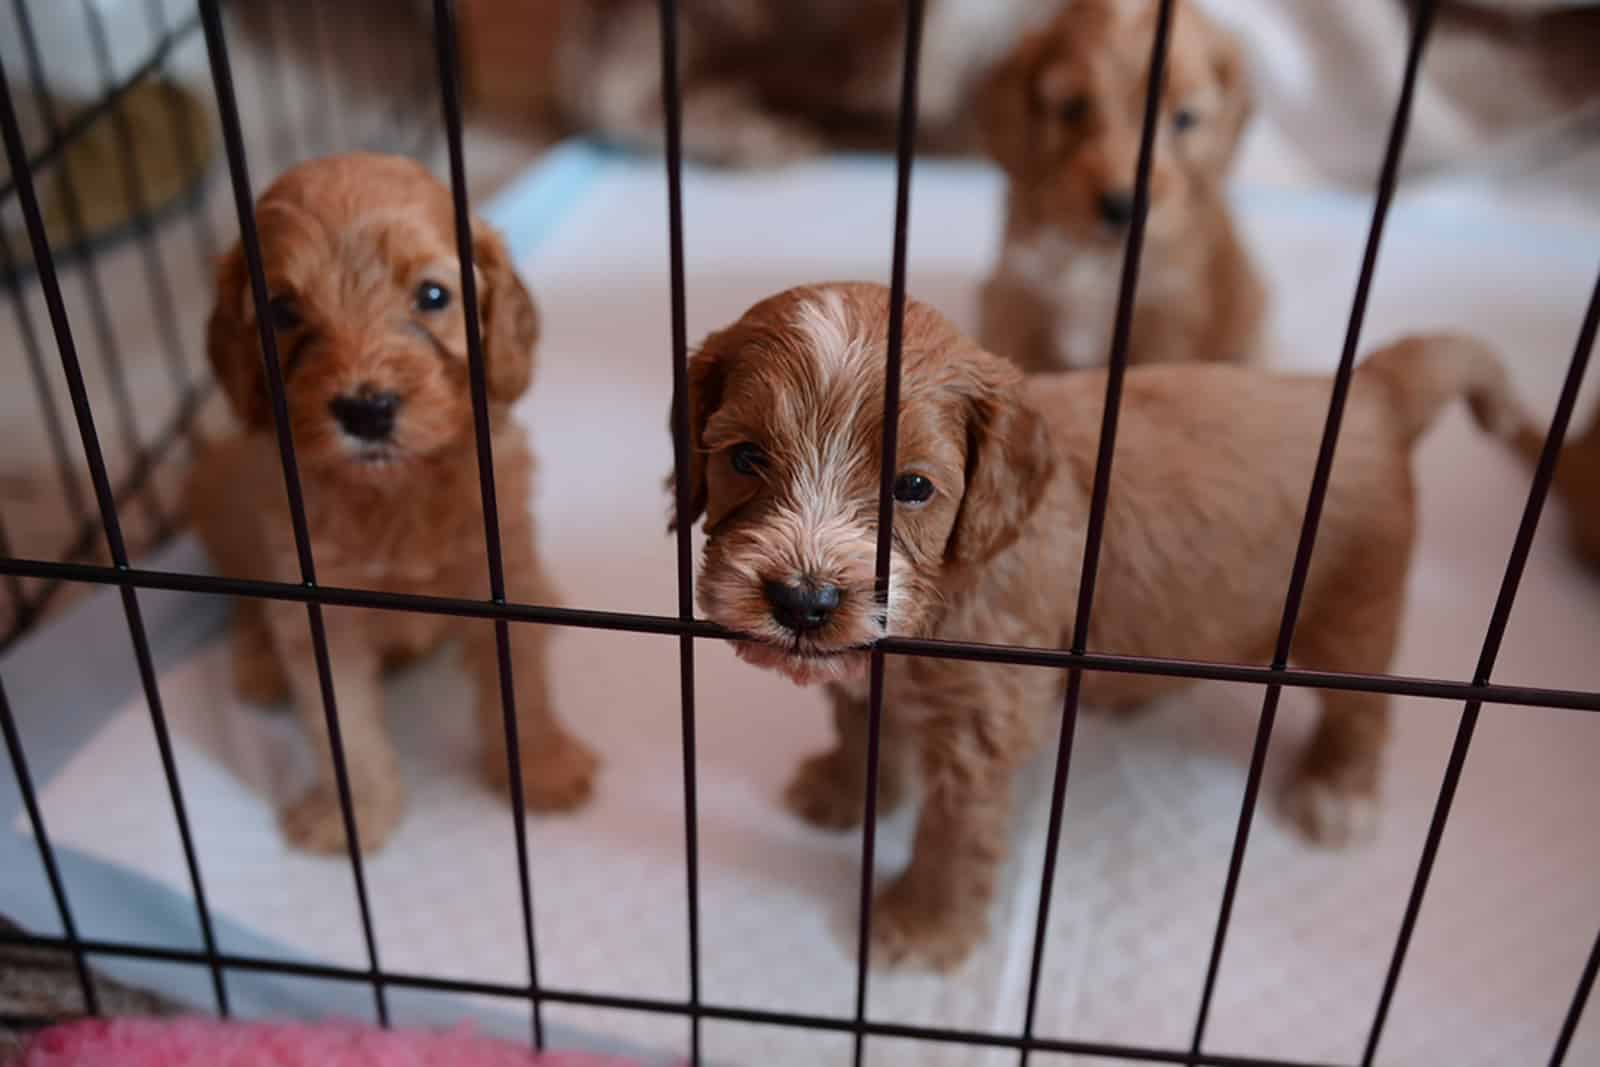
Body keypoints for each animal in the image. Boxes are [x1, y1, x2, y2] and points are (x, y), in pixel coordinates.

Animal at [187, 150, 598, 857]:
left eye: (432, 296)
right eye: (281, 310)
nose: (366, 410)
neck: (394, 490)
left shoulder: (502, 571)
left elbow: (522, 684)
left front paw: (543, 768)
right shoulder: (318, 610)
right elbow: (340, 730)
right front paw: (349, 818)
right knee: (242, 598)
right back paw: (260, 663)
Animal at [678, 281, 1523, 966]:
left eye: (912, 486)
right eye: (745, 458)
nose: (804, 603)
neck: (954, 581)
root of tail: (1373, 388)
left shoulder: (984, 723)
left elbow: (954, 832)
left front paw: (923, 925)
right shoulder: (865, 667)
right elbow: (858, 726)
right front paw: (844, 792)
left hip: (1352, 613)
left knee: (1364, 708)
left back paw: (1337, 792)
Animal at [972, 0, 1260, 374]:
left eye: (1184, 118)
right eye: (1072, 108)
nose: (1122, 207)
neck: (1100, 257)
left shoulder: (1168, 318)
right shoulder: (1017, 293)